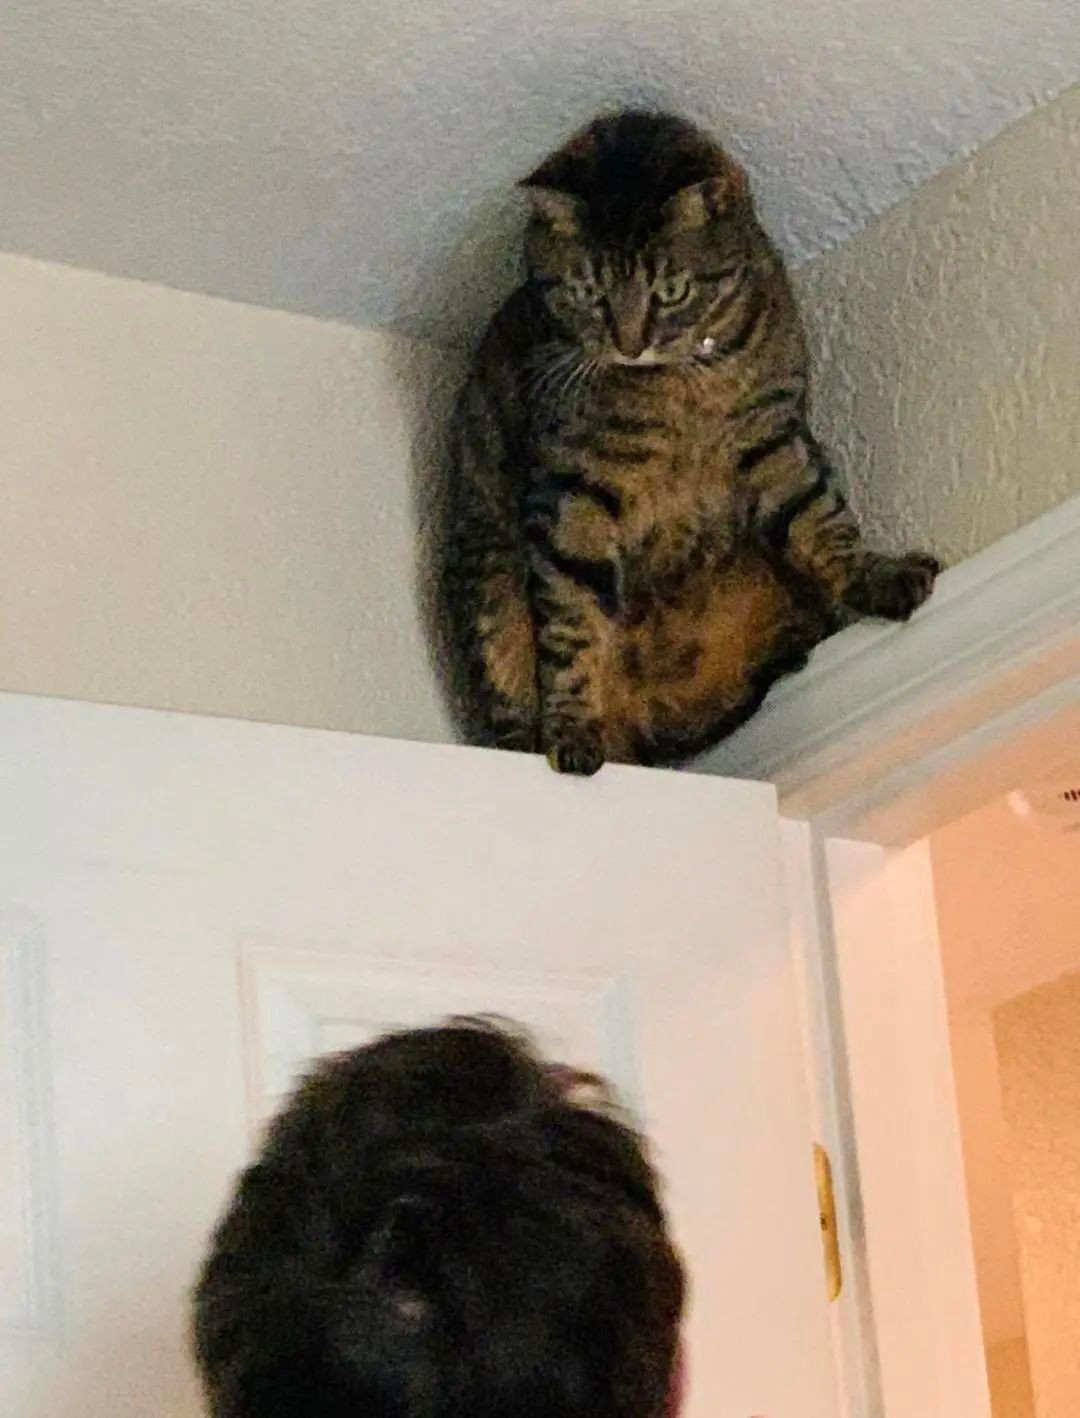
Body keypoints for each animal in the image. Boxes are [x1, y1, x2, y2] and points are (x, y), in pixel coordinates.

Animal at [443, 110, 939, 775]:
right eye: (588, 294)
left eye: (671, 292)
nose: (629, 345)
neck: (683, 389)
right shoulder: (573, 490)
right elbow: (569, 619)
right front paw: (571, 725)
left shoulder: (773, 438)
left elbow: (823, 519)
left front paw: (875, 573)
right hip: (488, 578)